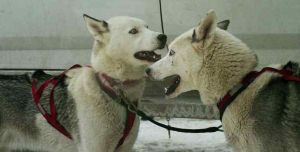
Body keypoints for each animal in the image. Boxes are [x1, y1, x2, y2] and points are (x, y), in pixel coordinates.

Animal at [0, 15, 165, 152]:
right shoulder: (95, 148)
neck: (110, 89)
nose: (163, 36)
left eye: (148, 27)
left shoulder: (124, 148)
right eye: (133, 31)